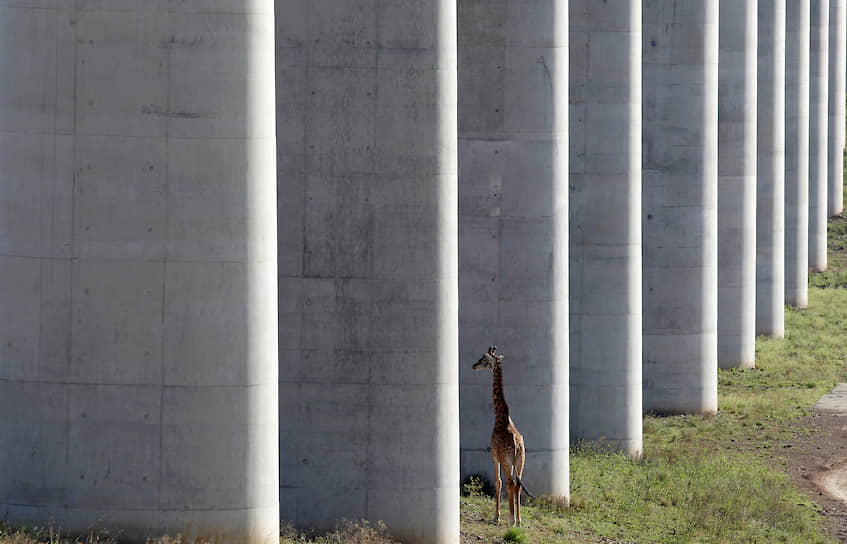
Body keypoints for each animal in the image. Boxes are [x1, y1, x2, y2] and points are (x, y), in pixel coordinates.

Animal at [474, 346, 532, 524]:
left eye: (483, 359)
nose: (473, 366)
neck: (502, 417)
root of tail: (517, 445)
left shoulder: (493, 454)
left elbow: (497, 482)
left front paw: (497, 516)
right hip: (520, 460)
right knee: (517, 484)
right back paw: (518, 520)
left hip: (507, 461)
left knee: (510, 482)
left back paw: (511, 519)